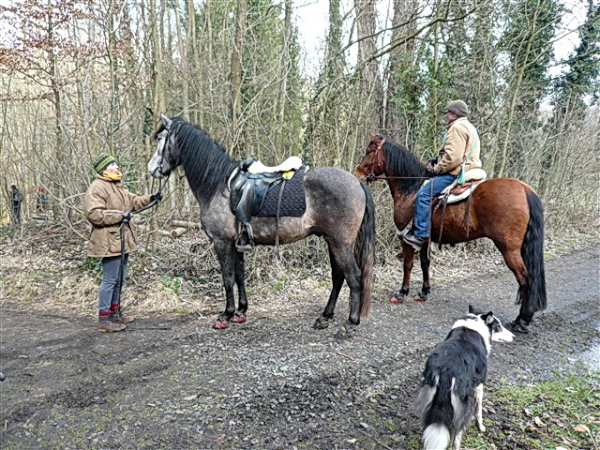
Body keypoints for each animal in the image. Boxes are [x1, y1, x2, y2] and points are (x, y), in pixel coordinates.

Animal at [148, 114, 375, 337]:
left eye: (162, 140)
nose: (151, 169)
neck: (218, 186)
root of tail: (357, 182)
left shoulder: (221, 242)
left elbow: (227, 278)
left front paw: (226, 315)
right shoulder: (237, 243)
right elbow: (239, 276)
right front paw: (241, 311)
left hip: (340, 243)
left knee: (354, 277)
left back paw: (350, 323)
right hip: (332, 241)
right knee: (338, 277)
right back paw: (324, 317)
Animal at [355, 133, 546, 333]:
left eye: (369, 151)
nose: (358, 174)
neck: (411, 189)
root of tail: (525, 189)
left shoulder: (406, 238)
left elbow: (408, 264)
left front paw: (402, 293)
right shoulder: (424, 238)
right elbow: (425, 263)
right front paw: (424, 292)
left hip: (509, 249)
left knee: (525, 279)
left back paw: (522, 320)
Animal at [416, 305, 514, 450]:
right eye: (498, 327)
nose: (514, 336)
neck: (475, 322)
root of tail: (447, 371)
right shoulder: (478, 385)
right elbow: (479, 411)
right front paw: (481, 427)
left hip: (429, 400)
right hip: (462, 407)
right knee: (457, 434)